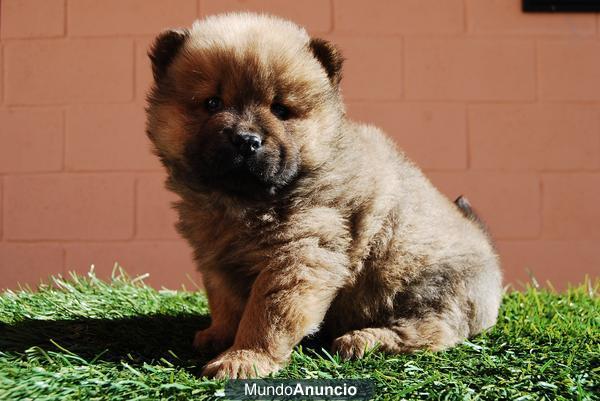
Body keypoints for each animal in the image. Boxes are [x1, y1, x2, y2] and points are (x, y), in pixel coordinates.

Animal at [145, 13, 502, 378]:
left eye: (280, 110)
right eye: (212, 103)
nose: (246, 140)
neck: (244, 202)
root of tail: (489, 253)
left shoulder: (300, 253)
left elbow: (266, 315)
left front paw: (244, 358)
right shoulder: (218, 260)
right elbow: (226, 302)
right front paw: (218, 334)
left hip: (428, 287)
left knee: (429, 331)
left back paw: (363, 340)